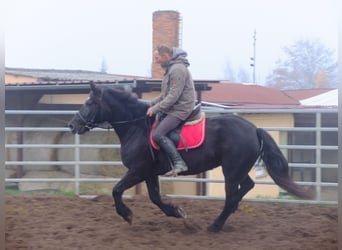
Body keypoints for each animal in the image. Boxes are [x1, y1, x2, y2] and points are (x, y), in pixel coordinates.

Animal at [68, 83, 314, 231]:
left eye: (89, 102)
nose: (72, 125)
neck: (136, 126)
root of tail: (253, 128)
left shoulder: (137, 170)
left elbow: (116, 190)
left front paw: (127, 214)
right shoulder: (149, 173)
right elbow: (154, 198)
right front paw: (176, 212)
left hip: (231, 171)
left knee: (232, 195)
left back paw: (216, 225)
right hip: (237, 169)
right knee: (247, 186)